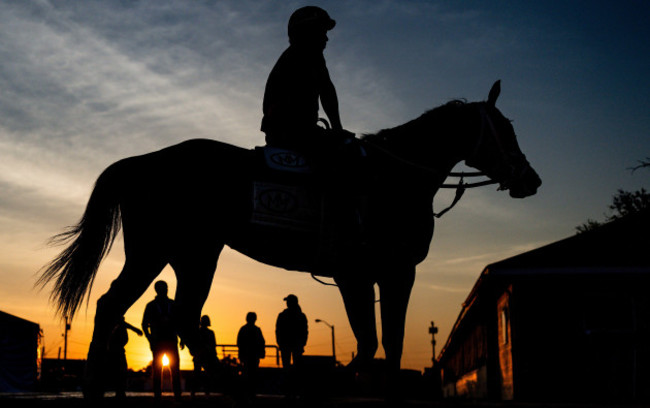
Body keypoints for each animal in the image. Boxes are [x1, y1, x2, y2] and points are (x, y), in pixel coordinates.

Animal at [38, 81, 540, 396]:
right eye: (505, 129)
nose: (531, 179)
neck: (391, 178)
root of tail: (142, 161)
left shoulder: (367, 277)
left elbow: (376, 342)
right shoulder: (382, 274)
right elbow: (380, 342)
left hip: (189, 255)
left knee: (173, 316)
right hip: (160, 252)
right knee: (123, 306)